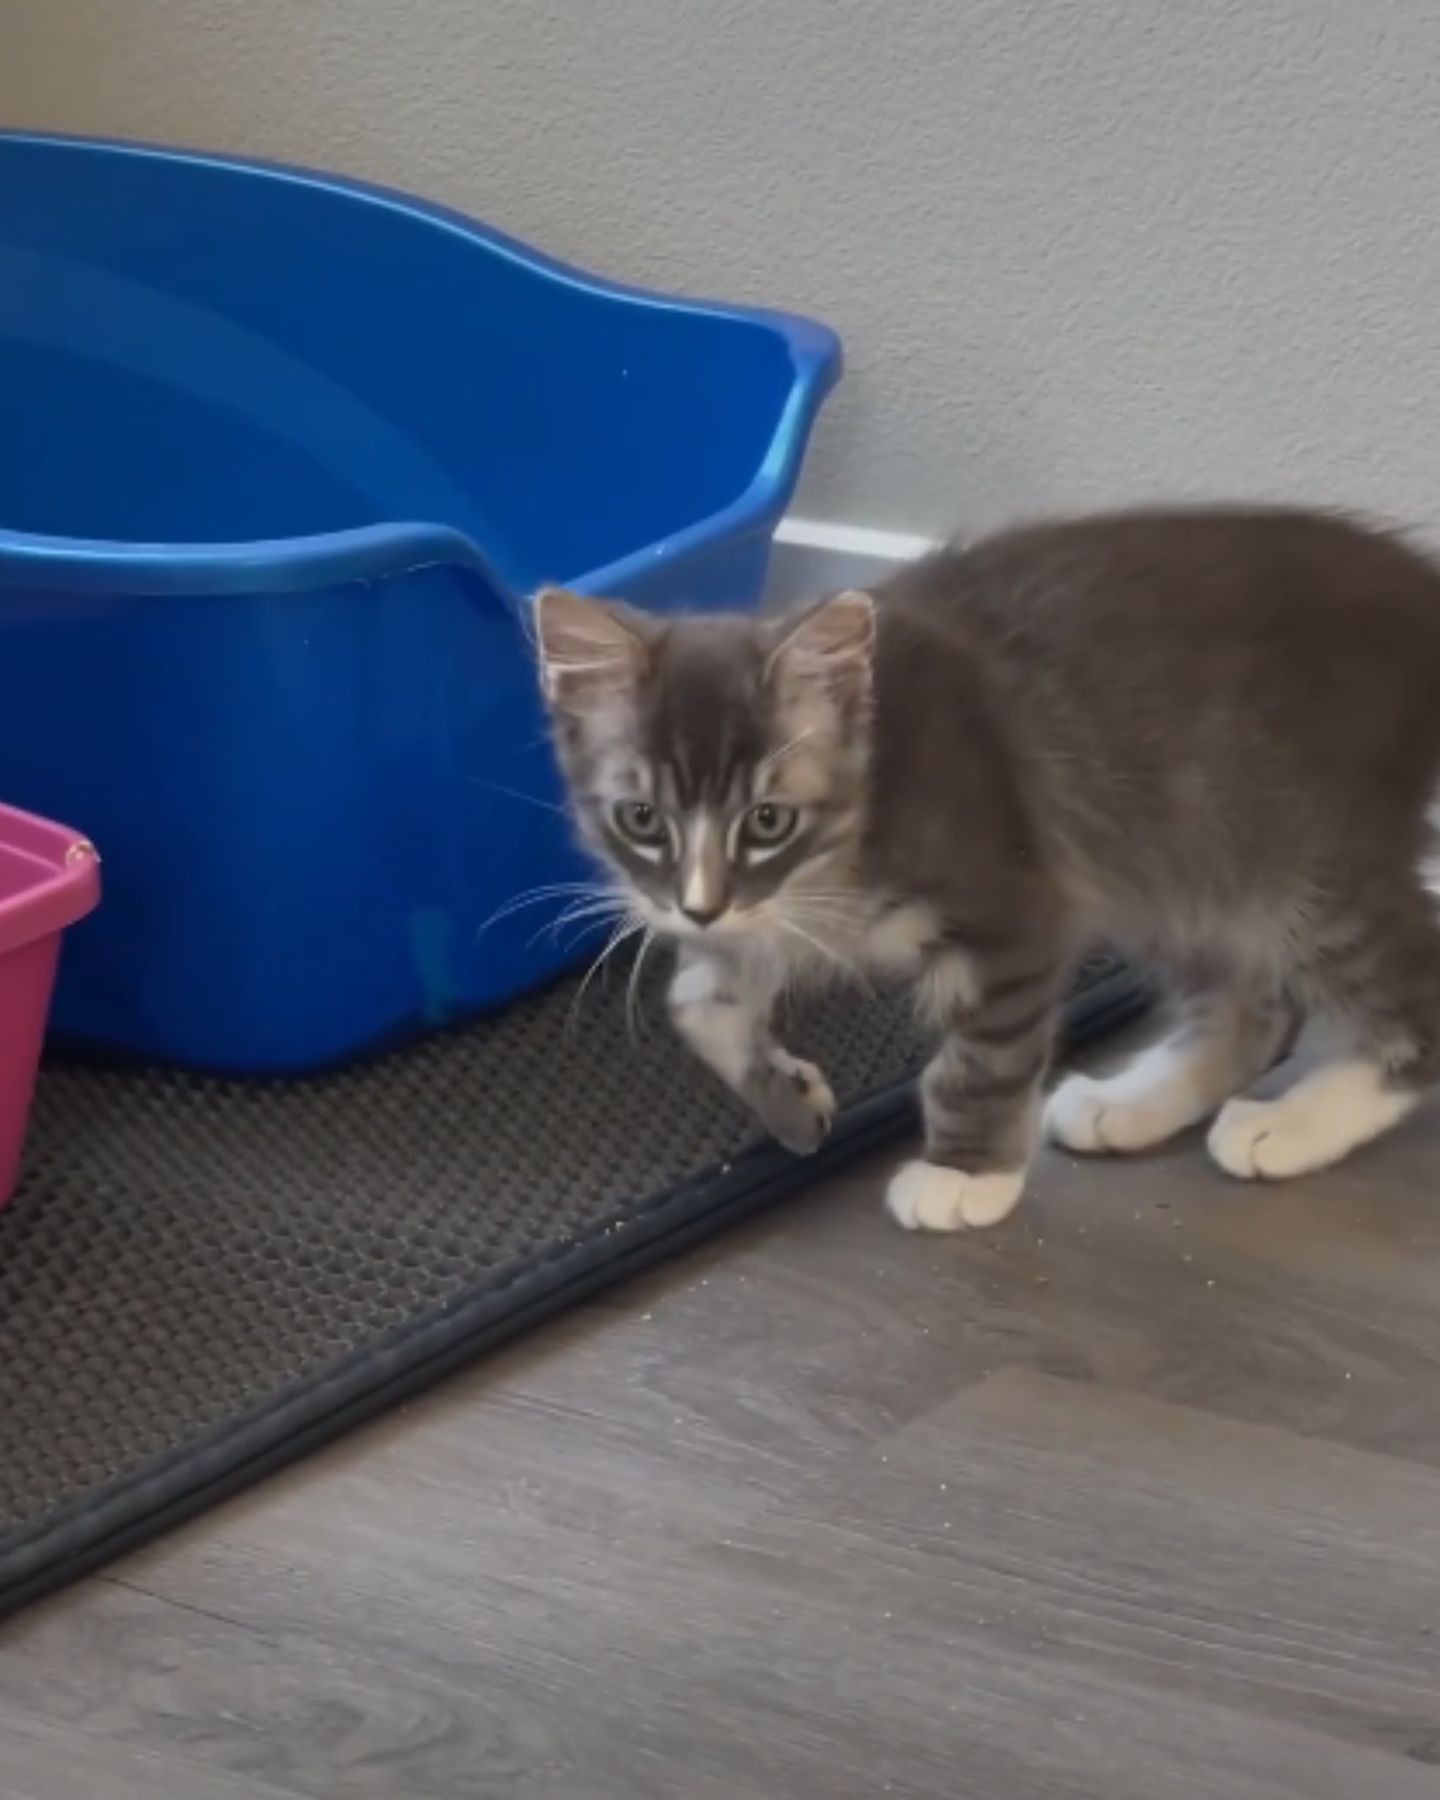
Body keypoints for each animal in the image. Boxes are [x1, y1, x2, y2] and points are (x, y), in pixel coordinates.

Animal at [532, 514, 1440, 1231]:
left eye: (766, 820)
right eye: (641, 819)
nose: (699, 910)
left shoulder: (1016, 908)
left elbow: (983, 1057)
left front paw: (966, 1173)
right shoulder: (751, 919)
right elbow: (696, 1003)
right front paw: (787, 1099)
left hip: (1305, 867)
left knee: (1412, 999)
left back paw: (1295, 1124)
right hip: (1181, 864)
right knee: (1257, 1010)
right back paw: (1129, 1105)